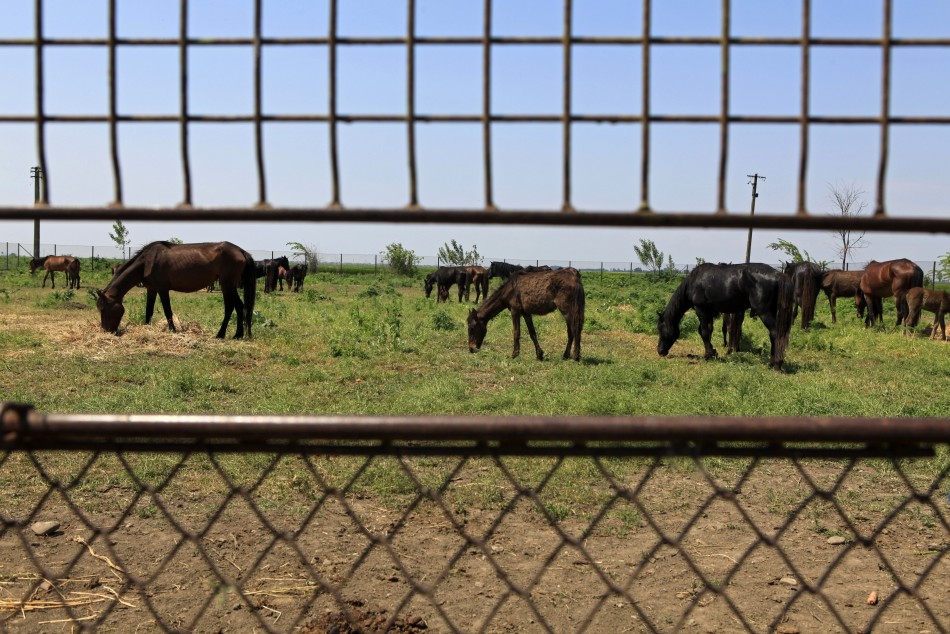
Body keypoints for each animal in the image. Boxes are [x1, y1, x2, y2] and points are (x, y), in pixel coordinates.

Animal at [95, 241, 256, 339]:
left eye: (104, 309)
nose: (106, 331)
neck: (147, 261)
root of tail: (241, 251)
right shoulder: (151, 289)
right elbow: (149, 311)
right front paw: (147, 328)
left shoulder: (162, 289)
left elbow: (168, 311)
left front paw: (172, 330)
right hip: (230, 286)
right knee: (240, 306)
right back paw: (238, 335)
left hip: (226, 285)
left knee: (230, 307)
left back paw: (221, 334)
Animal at [657, 263, 795, 370]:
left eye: (660, 329)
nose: (660, 351)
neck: (694, 281)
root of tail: (778, 275)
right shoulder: (710, 313)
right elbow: (708, 331)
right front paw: (712, 352)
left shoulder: (701, 310)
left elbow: (704, 332)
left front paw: (708, 355)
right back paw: (772, 363)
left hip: (764, 312)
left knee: (775, 333)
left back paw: (776, 364)